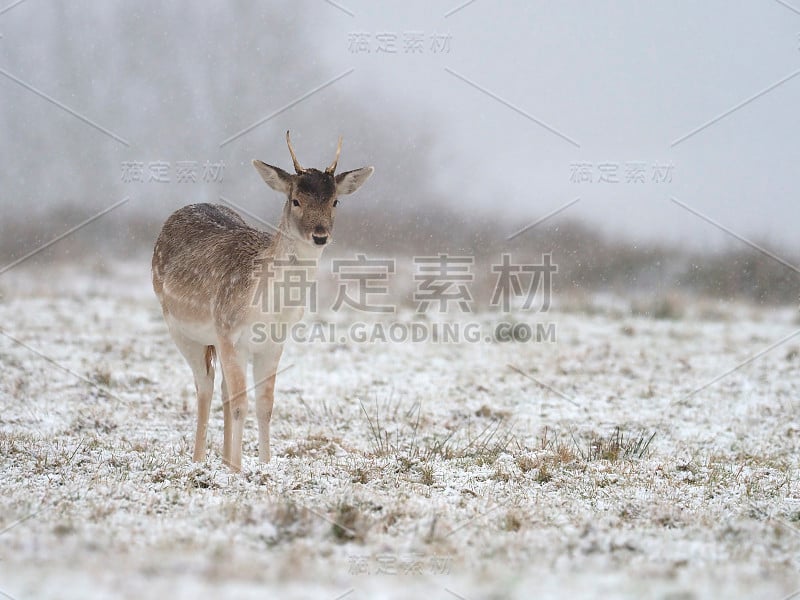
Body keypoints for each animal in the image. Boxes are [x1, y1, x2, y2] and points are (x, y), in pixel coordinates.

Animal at [152, 131, 376, 468]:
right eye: (296, 200)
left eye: (335, 200)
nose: (320, 235)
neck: (269, 307)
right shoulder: (230, 332)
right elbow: (241, 404)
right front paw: (238, 470)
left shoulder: (273, 342)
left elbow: (265, 405)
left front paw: (263, 465)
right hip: (180, 328)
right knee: (205, 384)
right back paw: (200, 459)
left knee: (222, 388)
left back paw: (222, 459)